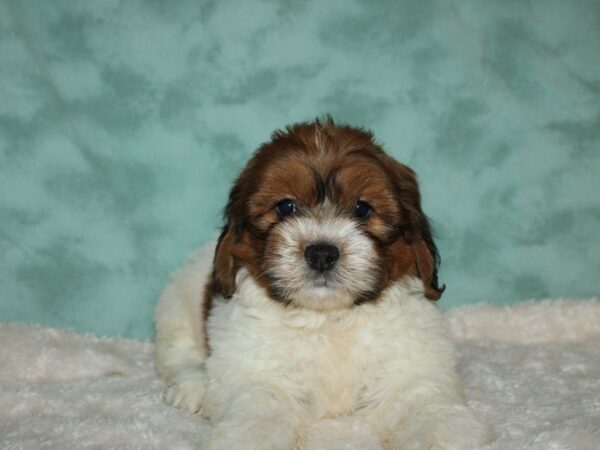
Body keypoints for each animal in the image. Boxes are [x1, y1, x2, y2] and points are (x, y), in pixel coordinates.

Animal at [155, 118, 492, 450]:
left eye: (361, 209)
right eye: (286, 207)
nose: (321, 253)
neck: (329, 318)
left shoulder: (412, 367)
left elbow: (424, 400)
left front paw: (441, 436)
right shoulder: (254, 368)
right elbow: (261, 403)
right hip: (177, 304)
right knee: (177, 351)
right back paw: (193, 384)